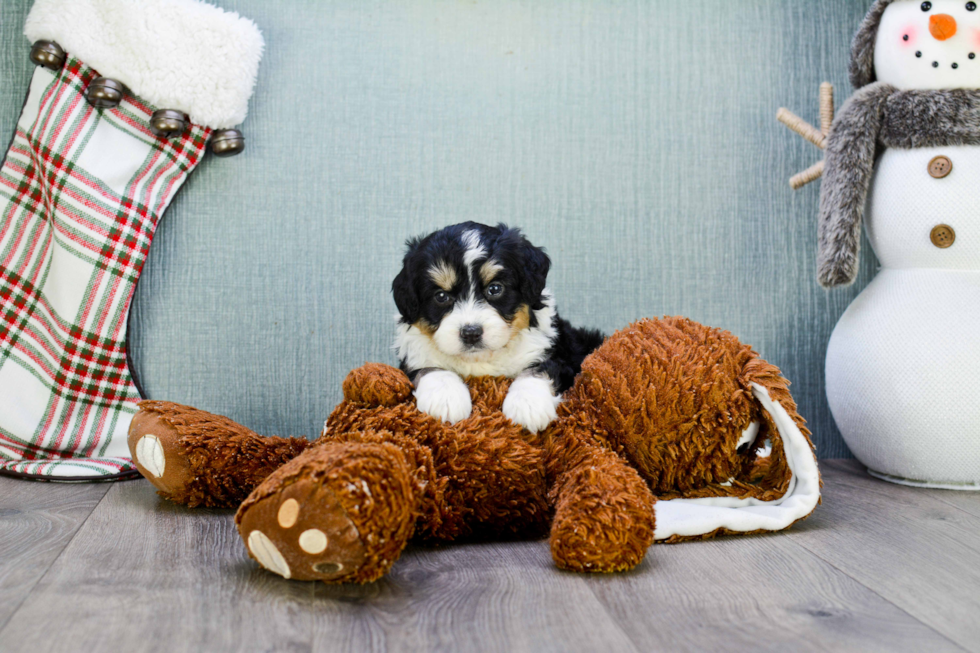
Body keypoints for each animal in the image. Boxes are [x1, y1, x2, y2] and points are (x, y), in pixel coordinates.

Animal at [390, 222, 604, 430]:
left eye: (495, 289)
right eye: (441, 296)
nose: (471, 333)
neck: (481, 360)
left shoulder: (558, 355)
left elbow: (539, 369)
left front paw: (528, 405)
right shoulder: (413, 357)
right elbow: (429, 369)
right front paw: (445, 398)